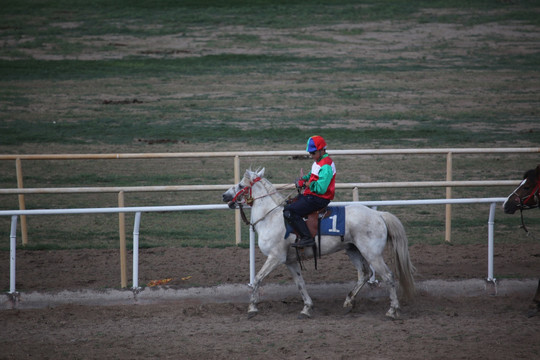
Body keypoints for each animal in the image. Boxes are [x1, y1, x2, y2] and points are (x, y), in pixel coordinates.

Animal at [221, 169, 416, 318]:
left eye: (241, 186)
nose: (224, 195)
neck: (271, 217)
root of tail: (378, 215)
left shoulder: (275, 258)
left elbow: (257, 279)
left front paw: (252, 307)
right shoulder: (290, 261)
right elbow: (300, 283)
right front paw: (307, 307)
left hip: (372, 254)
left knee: (388, 276)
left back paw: (392, 310)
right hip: (353, 250)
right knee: (364, 274)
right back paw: (349, 301)